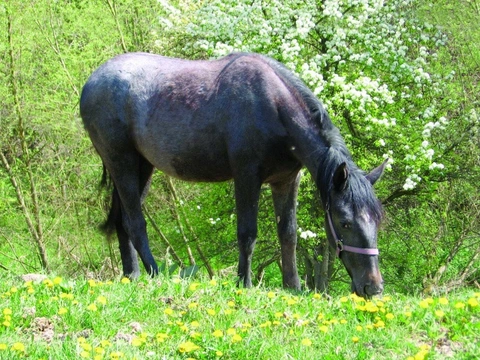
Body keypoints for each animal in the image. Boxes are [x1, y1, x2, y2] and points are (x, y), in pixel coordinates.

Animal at [79, 51, 386, 298]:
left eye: (376, 221)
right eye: (345, 222)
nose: (373, 288)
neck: (272, 105)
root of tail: (92, 81)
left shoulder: (286, 181)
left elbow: (288, 233)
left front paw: (293, 286)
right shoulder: (247, 176)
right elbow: (247, 233)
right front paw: (244, 283)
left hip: (142, 167)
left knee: (122, 221)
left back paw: (131, 276)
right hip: (122, 162)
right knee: (135, 222)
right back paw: (154, 273)